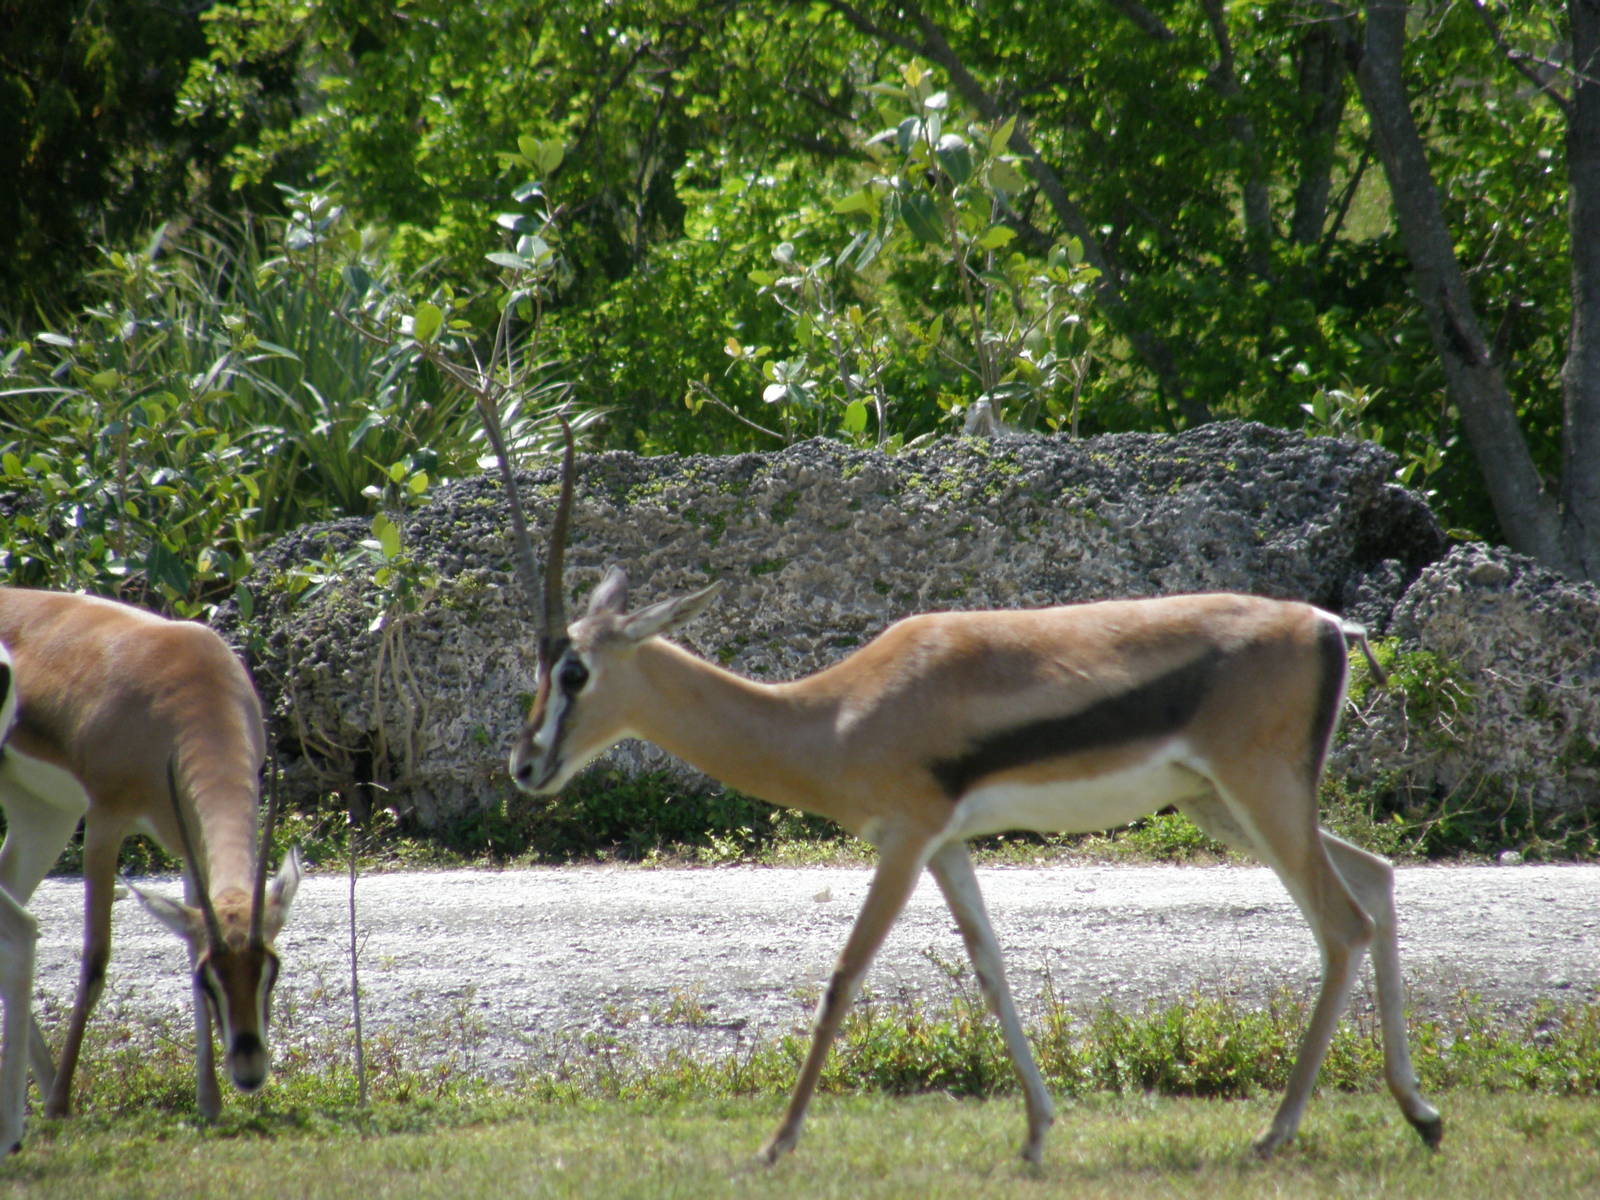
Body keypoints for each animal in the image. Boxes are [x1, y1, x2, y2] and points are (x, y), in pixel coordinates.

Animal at [0, 587, 302, 1138]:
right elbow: (95, 961)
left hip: (44, 814)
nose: (249, 1070)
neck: (191, 680)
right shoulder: (104, 822)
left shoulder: (189, 848)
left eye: (269, 967)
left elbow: (185, 942)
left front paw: (210, 1103)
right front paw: (58, 1105)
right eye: (211, 978)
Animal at [495, 429, 1442, 1166]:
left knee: (1341, 924)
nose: (524, 766)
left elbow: (844, 976)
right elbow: (991, 970)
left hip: (1260, 796)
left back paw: (1276, 1135)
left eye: (573, 669)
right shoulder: (948, 845)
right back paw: (1420, 1114)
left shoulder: (904, 840)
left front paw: (775, 1144)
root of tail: (1328, 623)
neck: (832, 712)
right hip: (1226, 805)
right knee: (1379, 878)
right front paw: (1036, 1133)